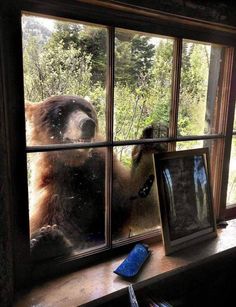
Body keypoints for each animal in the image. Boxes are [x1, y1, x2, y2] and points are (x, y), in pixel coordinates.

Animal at [24, 95, 163, 262]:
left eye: (88, 110)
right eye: (60, 112)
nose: (87, 123)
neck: (76, 168)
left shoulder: (105, 175)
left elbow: (139, 208)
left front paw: (150, 140)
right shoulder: (52, 192)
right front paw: (44, 239)